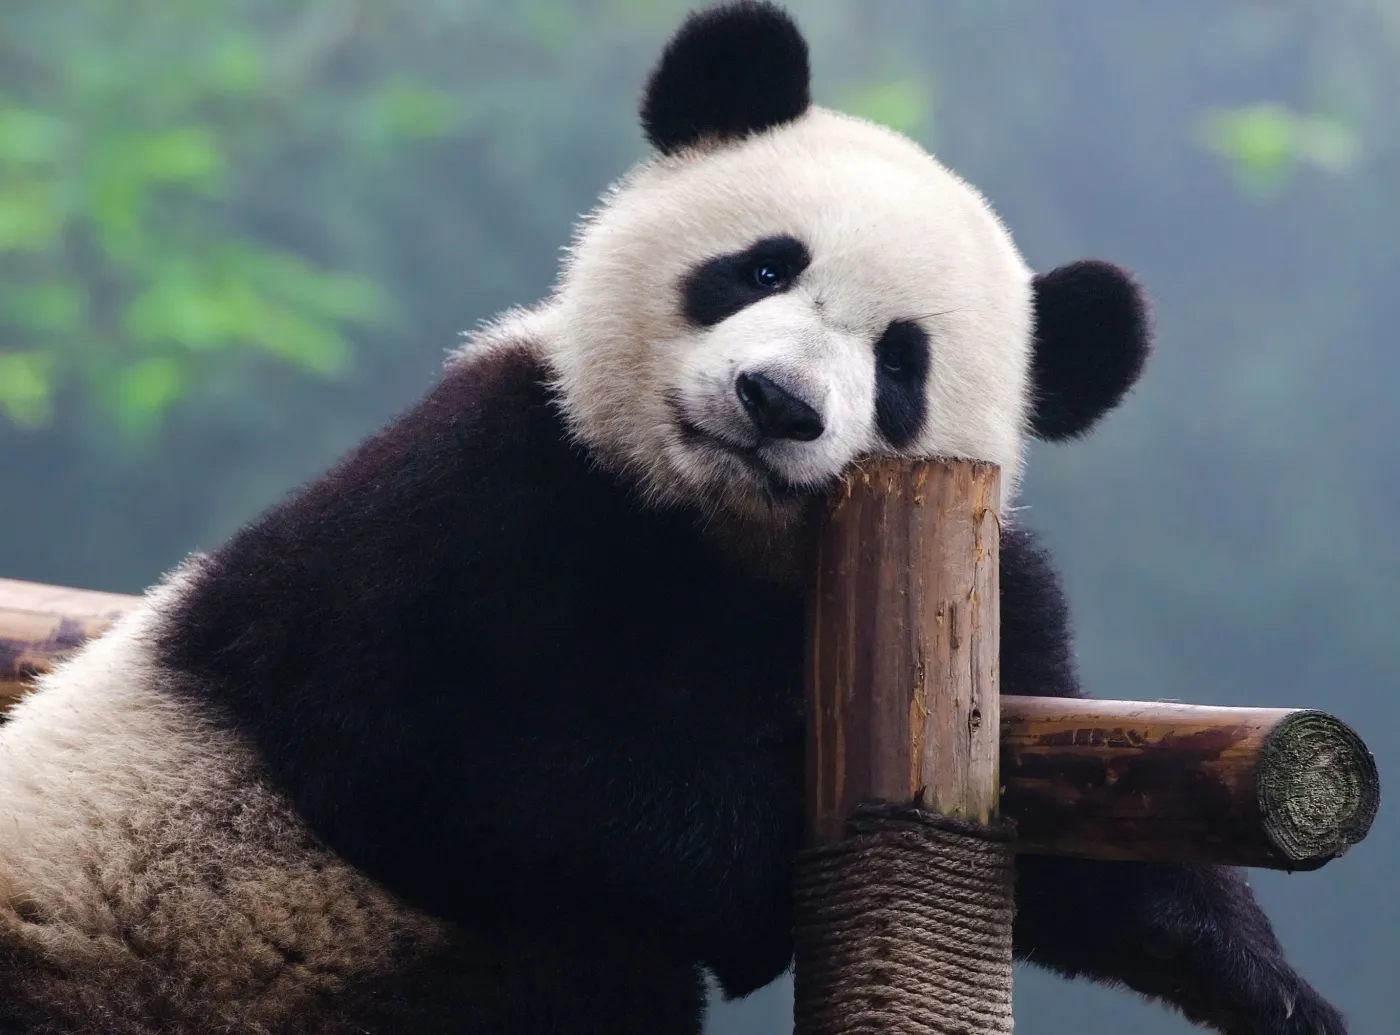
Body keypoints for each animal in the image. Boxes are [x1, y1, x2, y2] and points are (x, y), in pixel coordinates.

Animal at [0, 3, 1345, 1034]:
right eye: (761, 268)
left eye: (898, 364)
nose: (777, 401)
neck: (710, 528)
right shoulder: (486, 471)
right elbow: (403, 722)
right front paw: (750, 871)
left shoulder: (988, 591)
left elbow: (1080, 831)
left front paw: (1264, 985)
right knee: (585, 961)